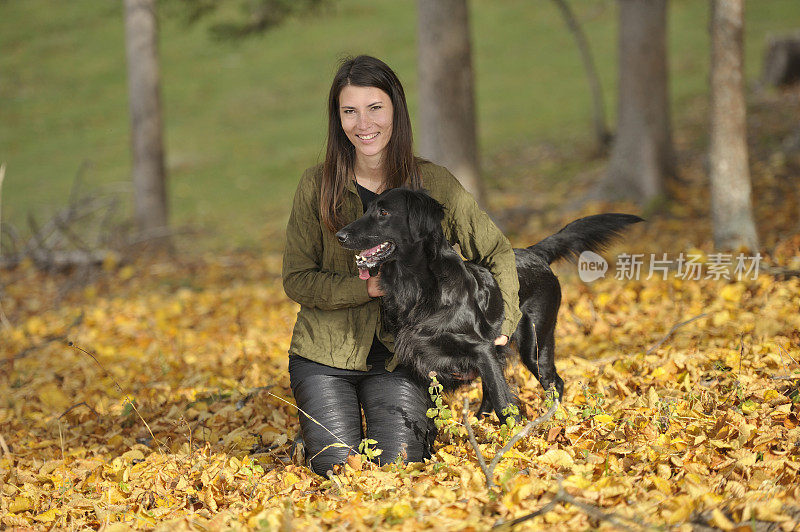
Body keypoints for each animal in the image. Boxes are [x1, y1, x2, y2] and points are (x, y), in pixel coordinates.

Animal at [334, 189, 640, 422]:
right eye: (367, 210)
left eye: (384, 213)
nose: (340, 235)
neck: (419, 287)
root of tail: (535, 253)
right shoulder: (423, 357)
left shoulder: (480, 348)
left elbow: (505, 403)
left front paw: (515, 444)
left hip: (535, 342)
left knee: (553, 382)